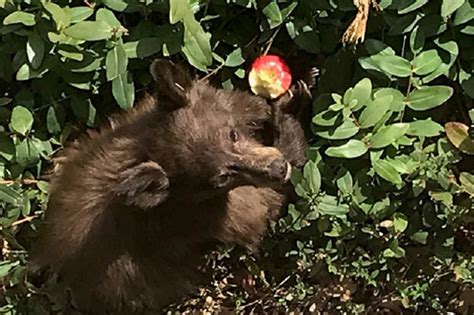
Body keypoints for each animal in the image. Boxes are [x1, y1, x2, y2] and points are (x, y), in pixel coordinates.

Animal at [28, 58, 312, 314]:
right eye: (221, 178)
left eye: (233, 134)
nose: (278, 168)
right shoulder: (213, 213)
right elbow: (262, 209)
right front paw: (288, 122)